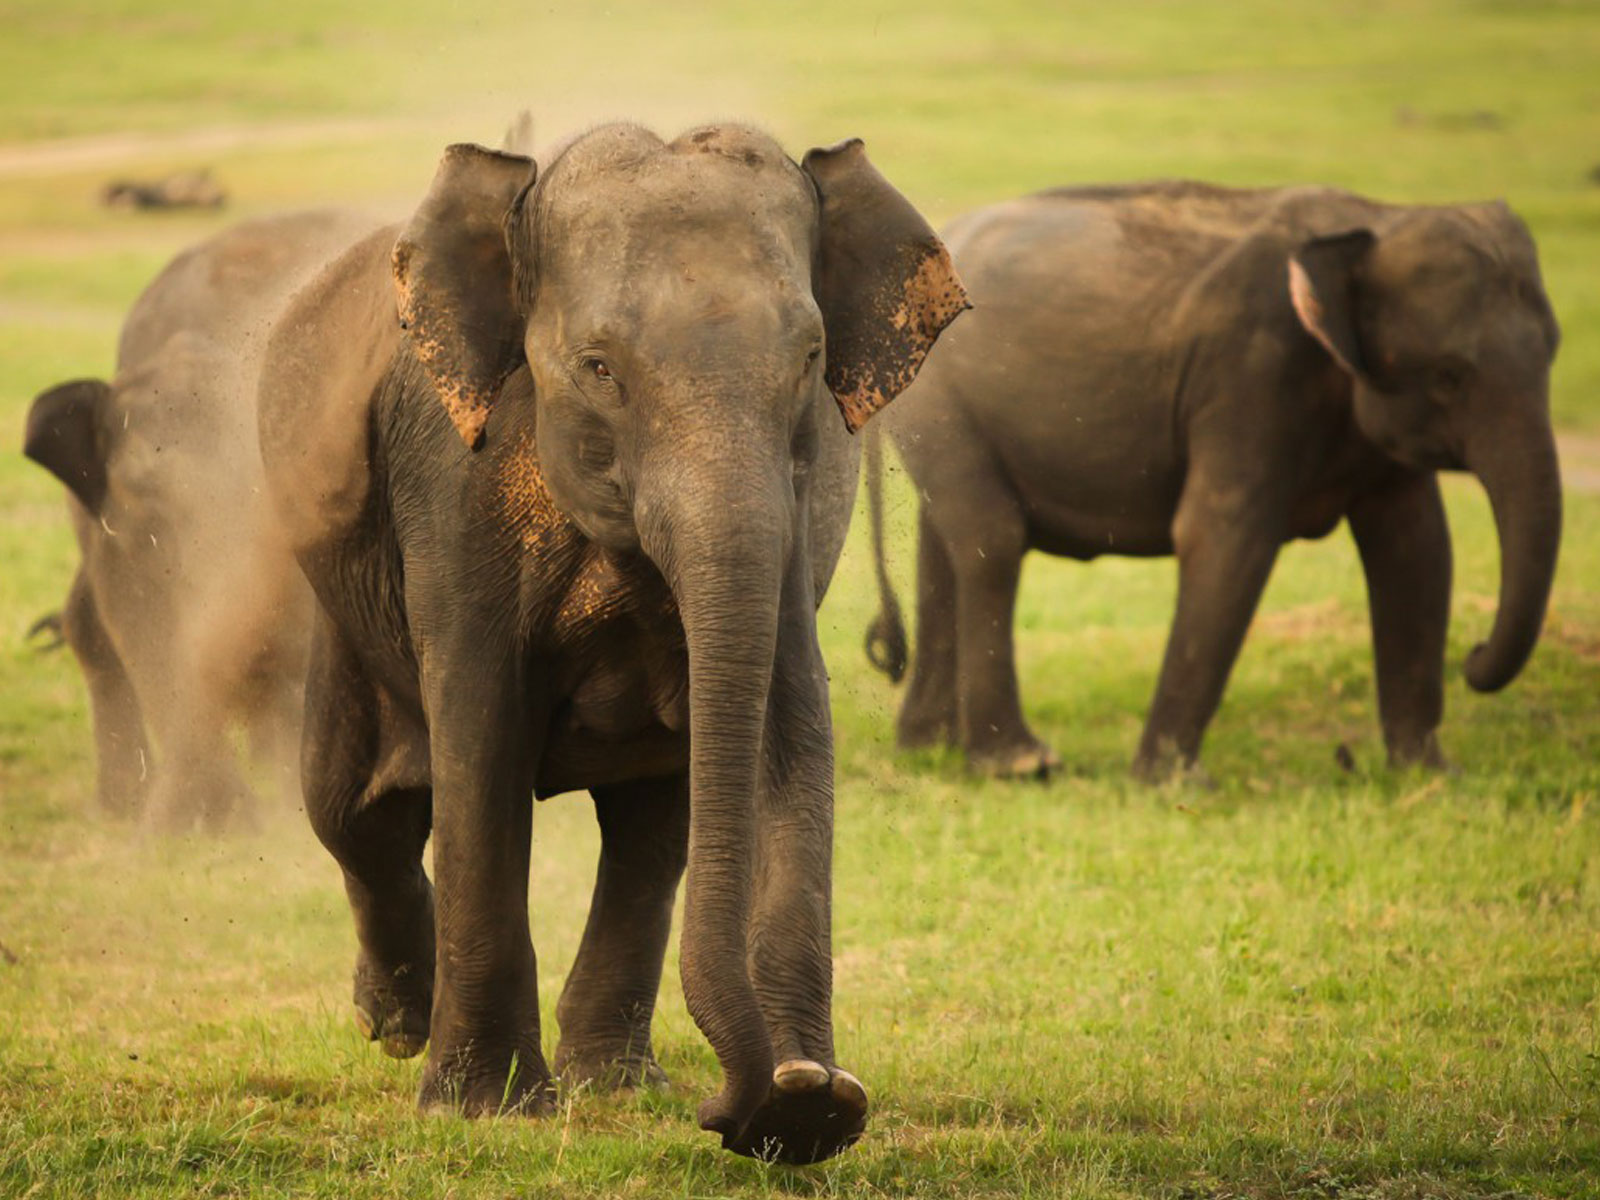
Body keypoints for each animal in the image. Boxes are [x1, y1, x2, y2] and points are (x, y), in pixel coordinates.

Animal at [255, 124, 966, 1162]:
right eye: (598, 368)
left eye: (810, 358)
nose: (744, 1105)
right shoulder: (456, 487)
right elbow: (480, 743)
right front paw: (483, 1110)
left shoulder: (799, 513)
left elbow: (790, 727)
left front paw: (815, 1106)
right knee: (352, 809)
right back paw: (398, 1028)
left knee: (648, 823)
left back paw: (614, 1084)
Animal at [863, 181, 1561, 779]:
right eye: (1449, 375)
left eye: (1555, 351)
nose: (1474, 657)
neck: (1375, 219)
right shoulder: (1248, 368)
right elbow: (1226, 538)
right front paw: (1173, 782)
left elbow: (1417, 551)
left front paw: (1431, 775)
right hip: (939, 400)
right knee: (994, 538)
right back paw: (1020, 765)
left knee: (947, 542)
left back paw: (928, 750)